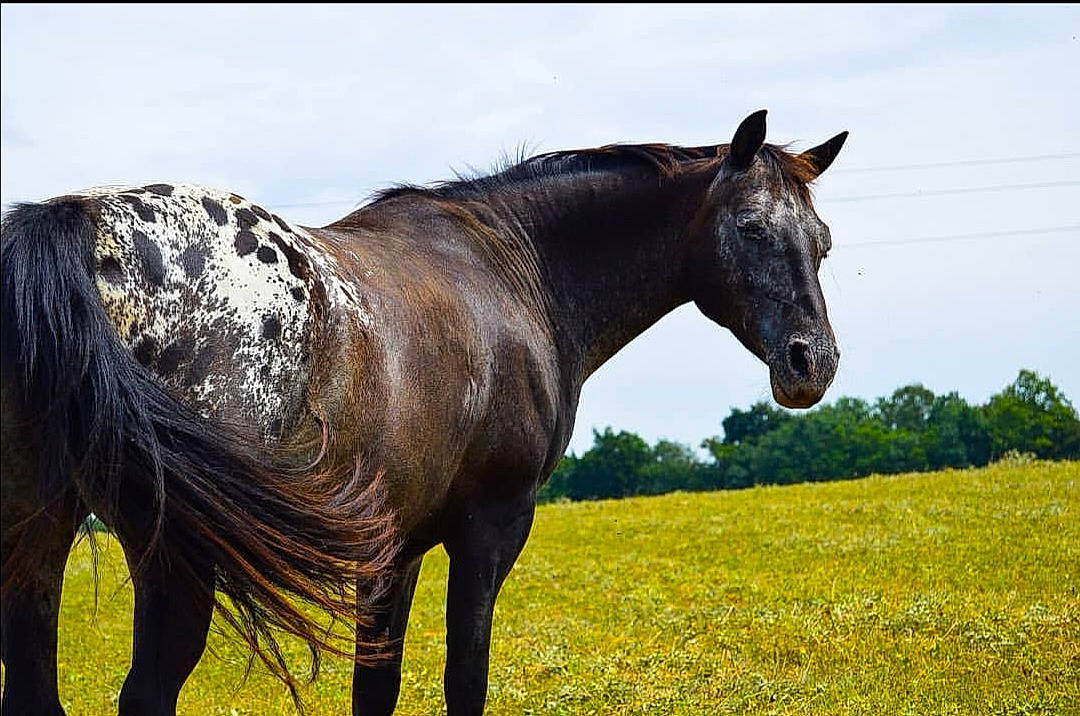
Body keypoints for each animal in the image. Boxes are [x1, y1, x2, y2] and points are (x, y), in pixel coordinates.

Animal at [0, 109, 846, 715]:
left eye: (824, 242)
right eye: (752, 229)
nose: (814, 362)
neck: (514, 268)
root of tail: (72, 222)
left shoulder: (393, 548)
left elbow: (377, 685)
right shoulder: (492, 528)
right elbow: (464, 678)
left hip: (40, 531)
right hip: (174, 551)